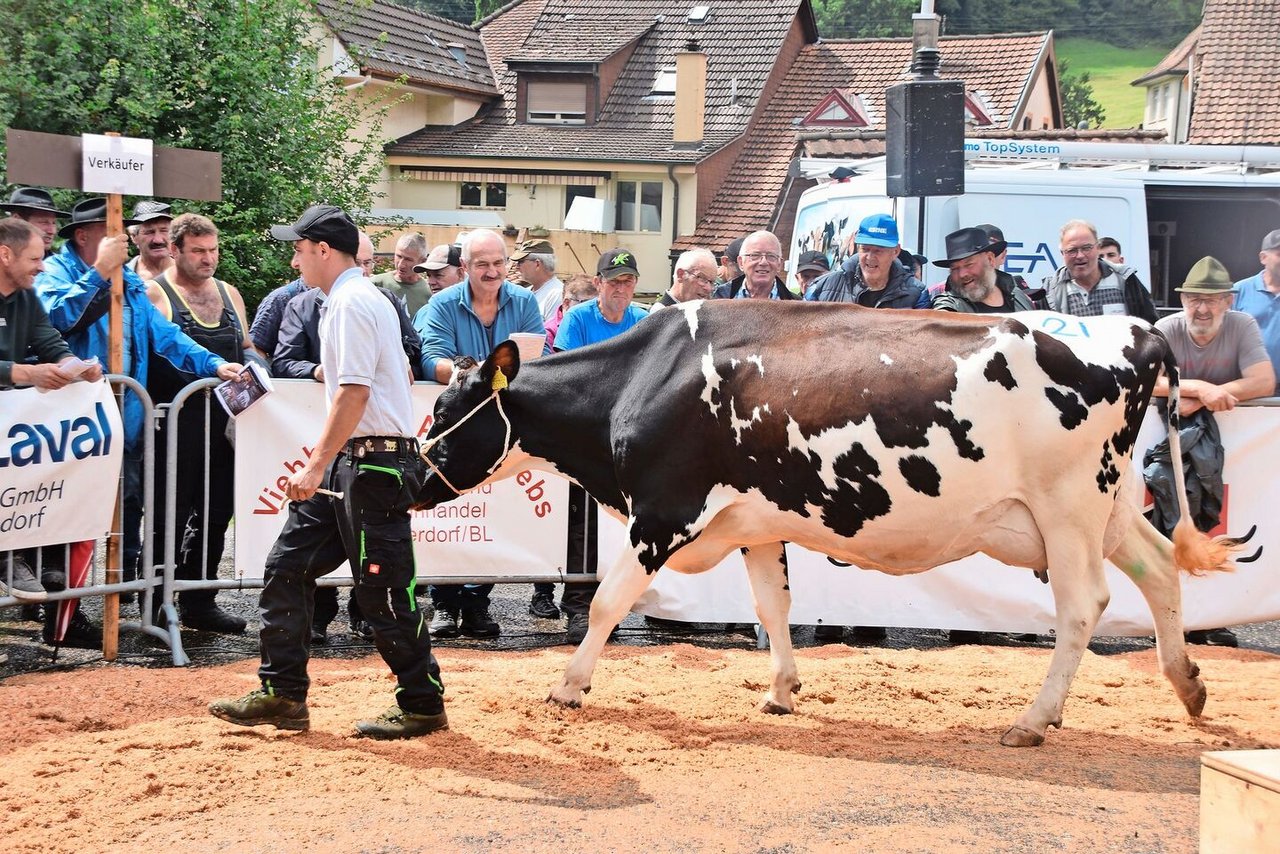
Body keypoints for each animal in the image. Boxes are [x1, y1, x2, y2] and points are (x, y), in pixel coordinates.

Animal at [417, 300, 1239, 747]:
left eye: (448, 409)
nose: (416, 476)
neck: (642, 380)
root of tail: (1138, 331)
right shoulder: (753, 523)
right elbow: (773, 606)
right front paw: (782, 690)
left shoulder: (663, 514)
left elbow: (607, 604)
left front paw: (569, 686)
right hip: (1108, 508)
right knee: (1160, 570)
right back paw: (1189, 686)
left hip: (1067, 509)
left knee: (1082, 607)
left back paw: (1034, 720)